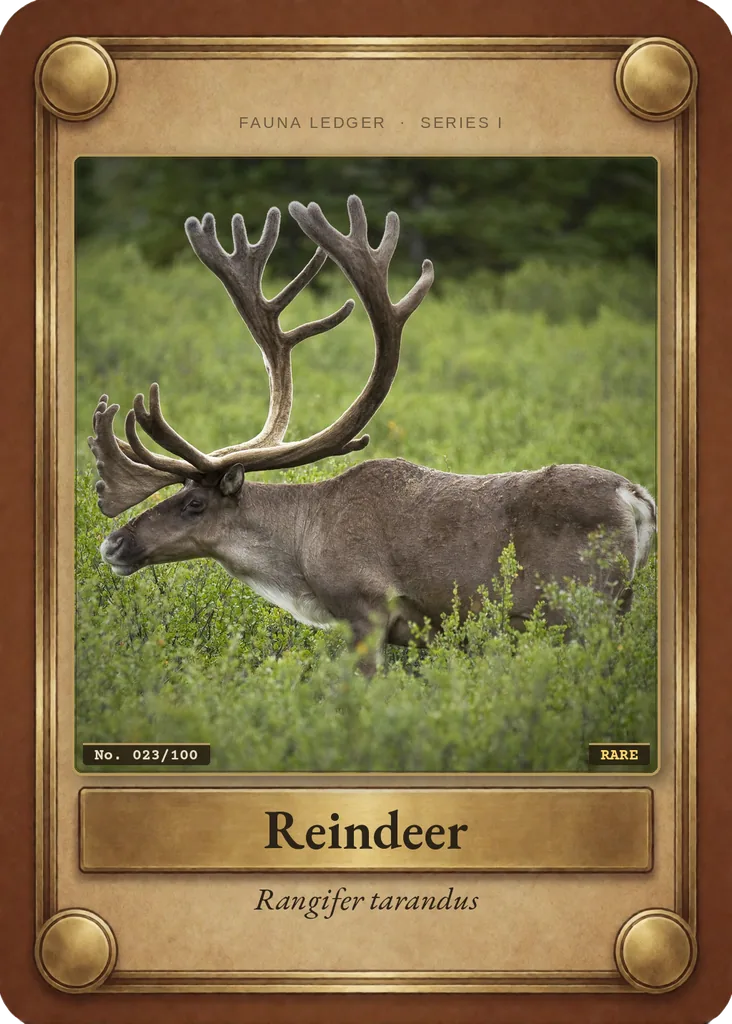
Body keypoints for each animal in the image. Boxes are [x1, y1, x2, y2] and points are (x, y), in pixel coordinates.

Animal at [90, 195, 657, 675]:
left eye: (194, 504)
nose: (113, 543)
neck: (301, 550)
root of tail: (633, 496)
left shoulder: (367, 610)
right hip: (617, 606)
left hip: (582, 608)